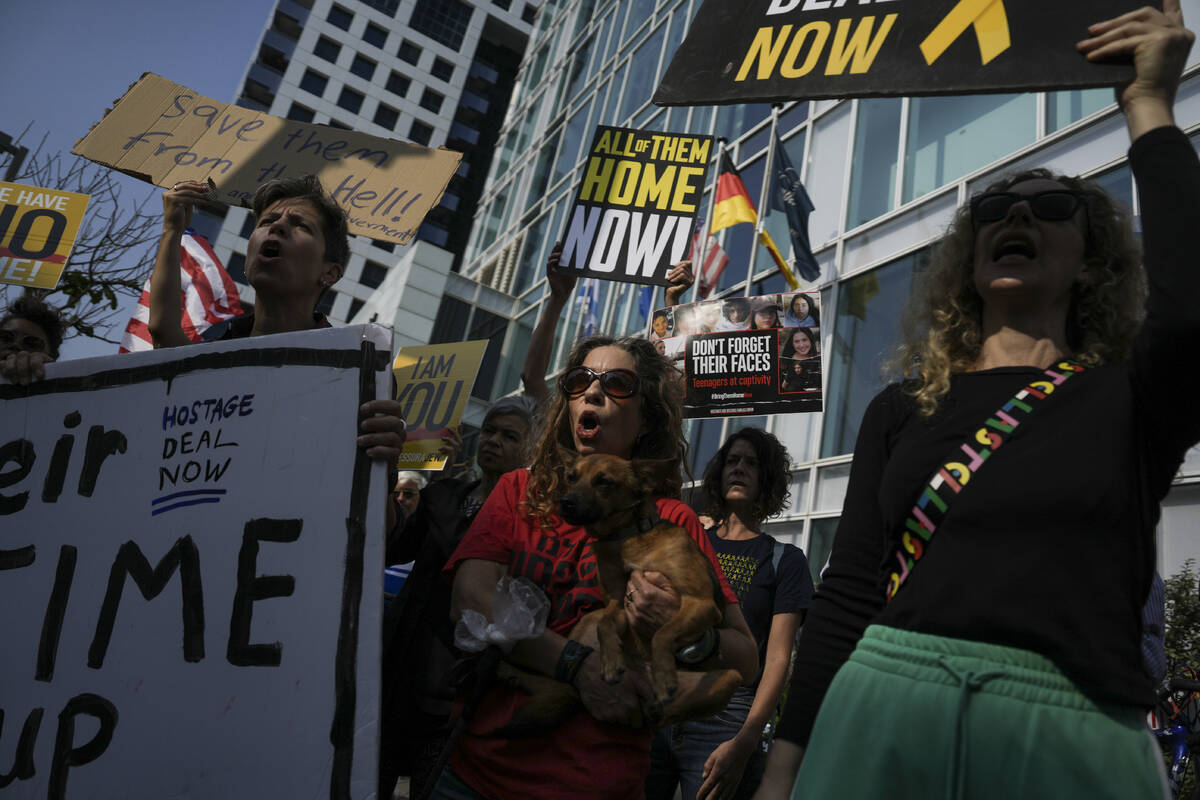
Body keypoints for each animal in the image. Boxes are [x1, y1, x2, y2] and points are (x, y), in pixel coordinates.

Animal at [489, 453, 739, 734]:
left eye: (604, 481)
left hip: (731, 677)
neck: (627, 538)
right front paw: (610, 662)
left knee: (664, 714)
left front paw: (663, 676)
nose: (566, 503)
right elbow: (606, 624)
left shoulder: (701, 602)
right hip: (588, 621)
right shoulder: (617, 604)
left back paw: (658, 702)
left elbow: (663, 633)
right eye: (571, 477)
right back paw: (509, 671)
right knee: (563, 686)